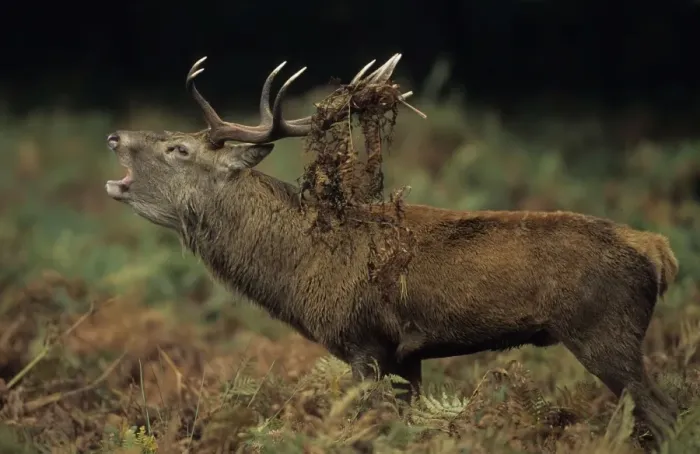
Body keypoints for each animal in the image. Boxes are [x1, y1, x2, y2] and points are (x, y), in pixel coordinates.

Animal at [104, 54, 680, 442]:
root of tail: (658, 249)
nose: (115, 136)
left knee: (665, 413)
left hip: (604, 330)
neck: (294, 274)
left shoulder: (363, 340)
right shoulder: (407, 354)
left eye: (178, 148)